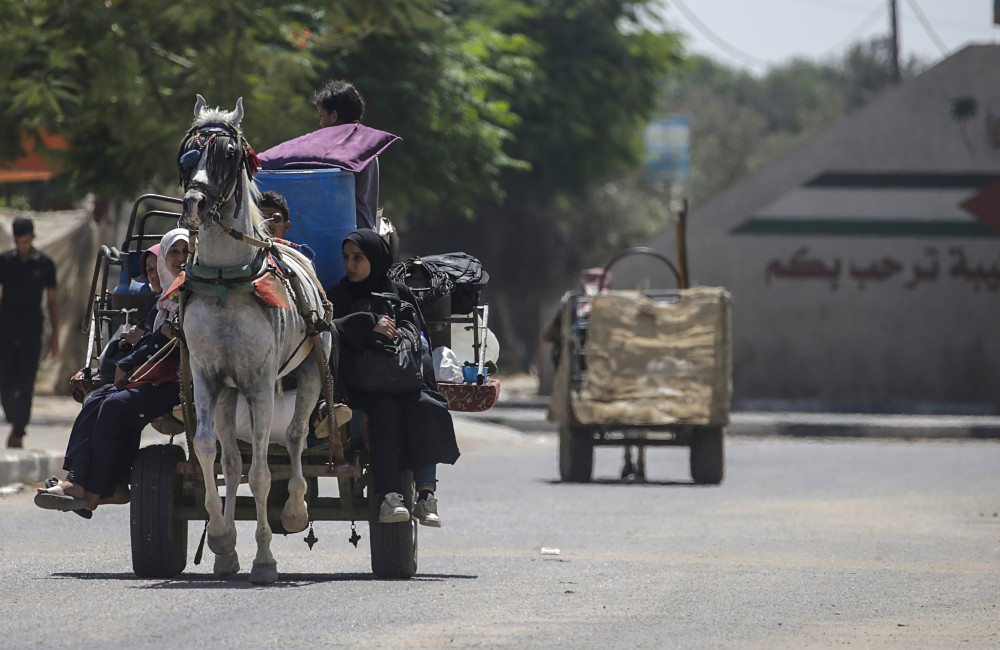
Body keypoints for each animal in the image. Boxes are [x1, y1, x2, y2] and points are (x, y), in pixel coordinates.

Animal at [179, 95, 332, 584]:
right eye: (187, 154)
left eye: (228, 155)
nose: (194, 203)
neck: (227, 280)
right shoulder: (207, 375)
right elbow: (207, 449)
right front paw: (222, 539)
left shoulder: (261, 382)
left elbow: (264, 473)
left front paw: (265, 559)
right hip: (230, 392)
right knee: (232, 460)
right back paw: (226, 546)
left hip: (310, 372)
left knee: (297, 437)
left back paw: (297, 508)